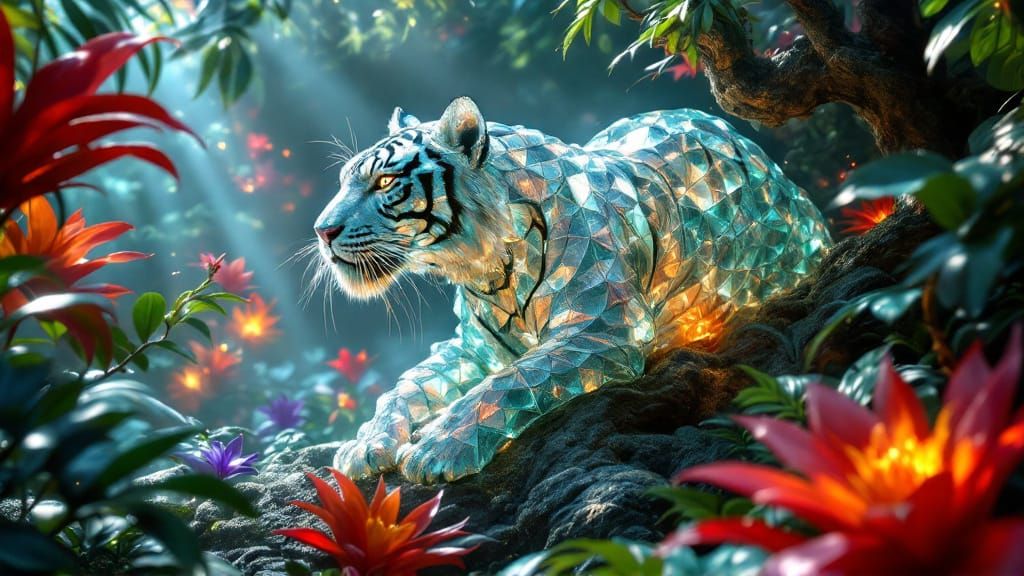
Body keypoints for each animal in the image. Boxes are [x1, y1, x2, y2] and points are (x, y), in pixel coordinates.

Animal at [315, 97, 831, 484]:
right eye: (342, 181)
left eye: (385, 181)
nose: (322, 230)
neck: (484, 267)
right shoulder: (470, 347)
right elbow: (405, 387)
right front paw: (364, 445)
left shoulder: (602, 328)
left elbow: (513, 378)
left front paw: (440, 446)